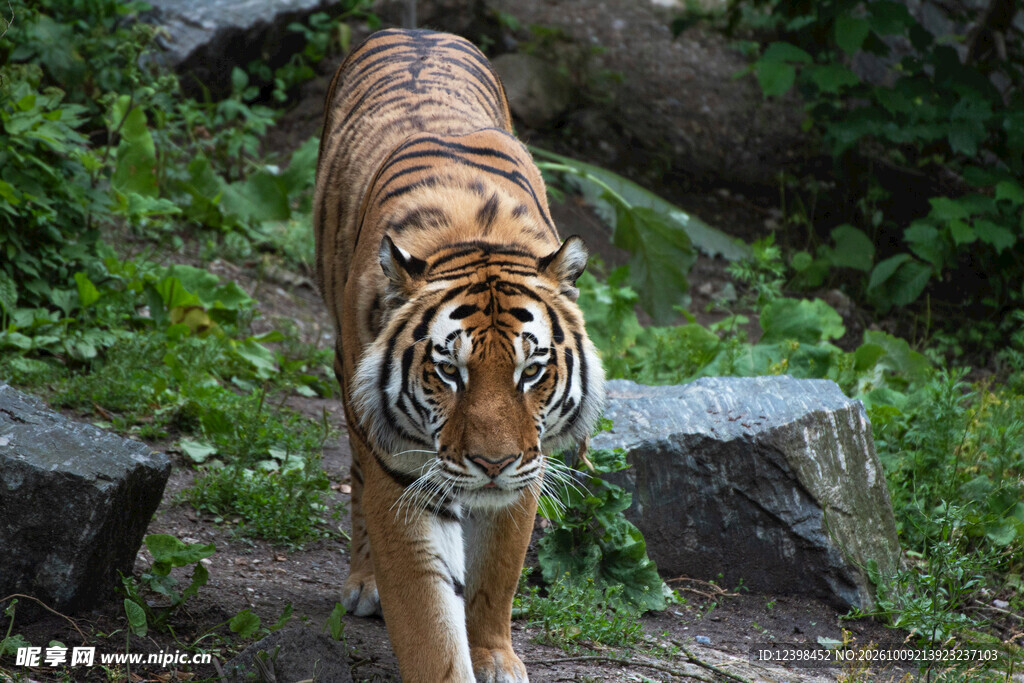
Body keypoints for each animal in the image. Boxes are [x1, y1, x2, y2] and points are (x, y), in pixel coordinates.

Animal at [313, 28, 605, 682]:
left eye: (531, 372)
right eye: (449, 372)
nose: (492, 463)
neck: (478, 236)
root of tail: (416, 30)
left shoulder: (527, 470)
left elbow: (496, 575)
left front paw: (495, 658)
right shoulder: (400, 472)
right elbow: (426, 617)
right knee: (355, 474)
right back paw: (364, 582)